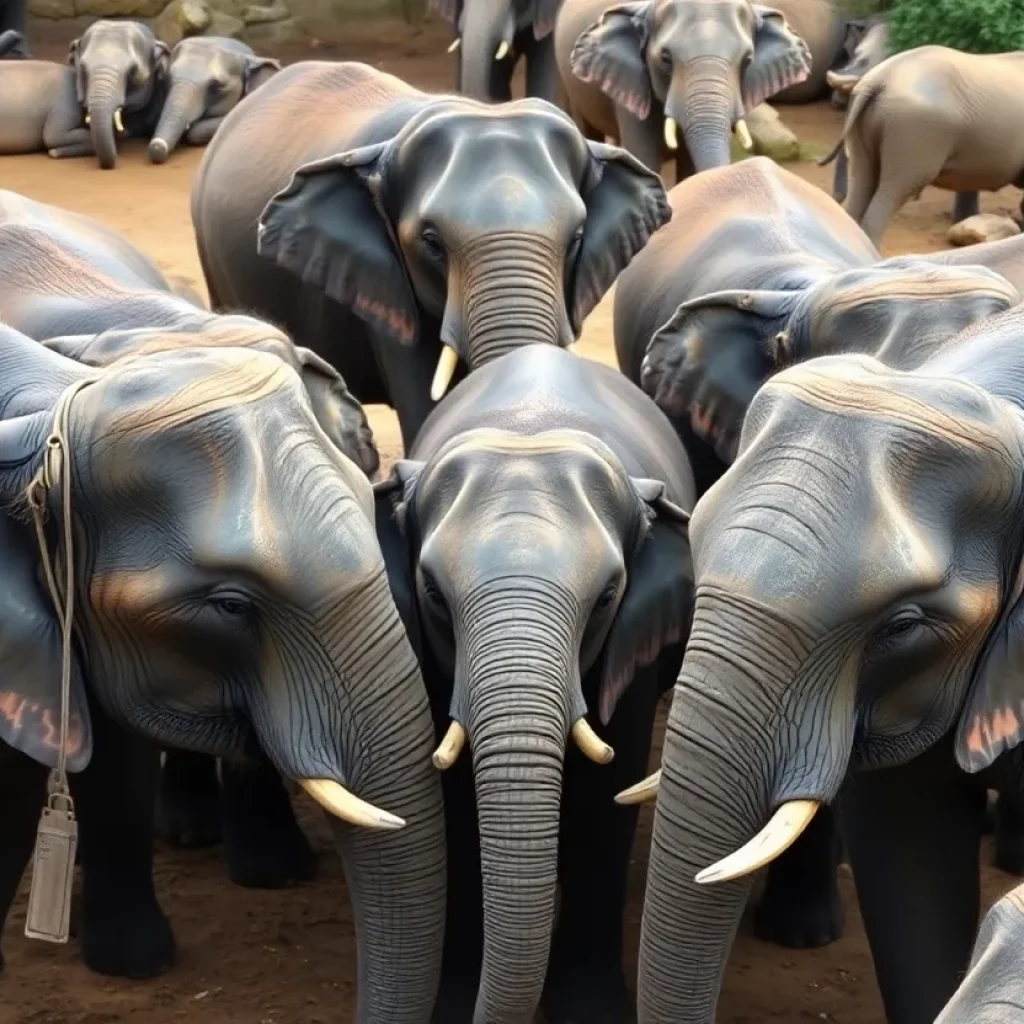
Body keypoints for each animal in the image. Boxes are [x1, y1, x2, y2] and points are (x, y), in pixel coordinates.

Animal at [373, 343, 695, 1023]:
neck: (528, 429)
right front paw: (454, 1005)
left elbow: (607, 796)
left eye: (606, 597)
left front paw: (591, 1012)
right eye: (433, 594)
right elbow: (456, 806)